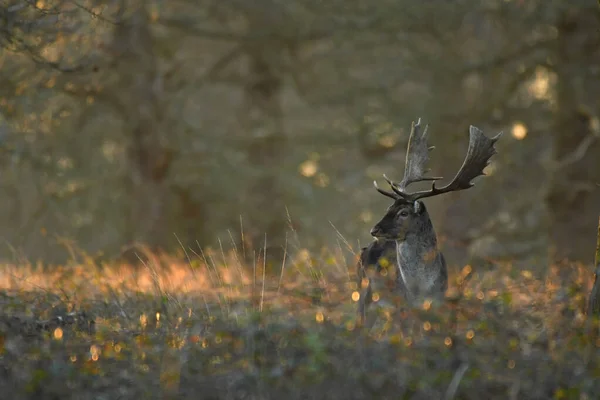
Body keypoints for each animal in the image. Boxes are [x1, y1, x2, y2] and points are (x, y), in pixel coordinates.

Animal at [356, 117, 502, 324]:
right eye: (388, 208)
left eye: (403, 213)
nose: (374, 230)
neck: (419, 290)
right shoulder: (401, 305)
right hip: (363, 292)